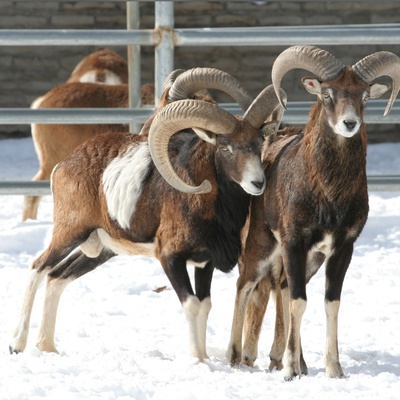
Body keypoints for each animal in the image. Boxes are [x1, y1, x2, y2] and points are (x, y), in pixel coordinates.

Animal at [9, 69, 285, 362]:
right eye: (225, 147)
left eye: (258, 144)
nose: (258, 183)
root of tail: (62, 166)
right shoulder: (170, 258)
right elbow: (192, 305)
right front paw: (197, 359)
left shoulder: (204, 262)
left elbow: (205, 305)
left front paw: (203, 358)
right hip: (69, 234)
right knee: (38, 268)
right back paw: (17, 344)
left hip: (98, 251)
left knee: (55, 277)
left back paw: (47, 347)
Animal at [226, 45, 400, 380]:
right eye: (328, 94)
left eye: (364, 96)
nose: (349, 123)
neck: (329, 195)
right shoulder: (294, 242)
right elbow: (298, 302)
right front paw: (290, 371)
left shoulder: (341, 249)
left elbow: (329, 304)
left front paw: (334, 370)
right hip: (263, 247)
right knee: (245, 286)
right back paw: (236, 358)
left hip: (309, 261)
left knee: (281, 288)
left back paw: (294, 362)